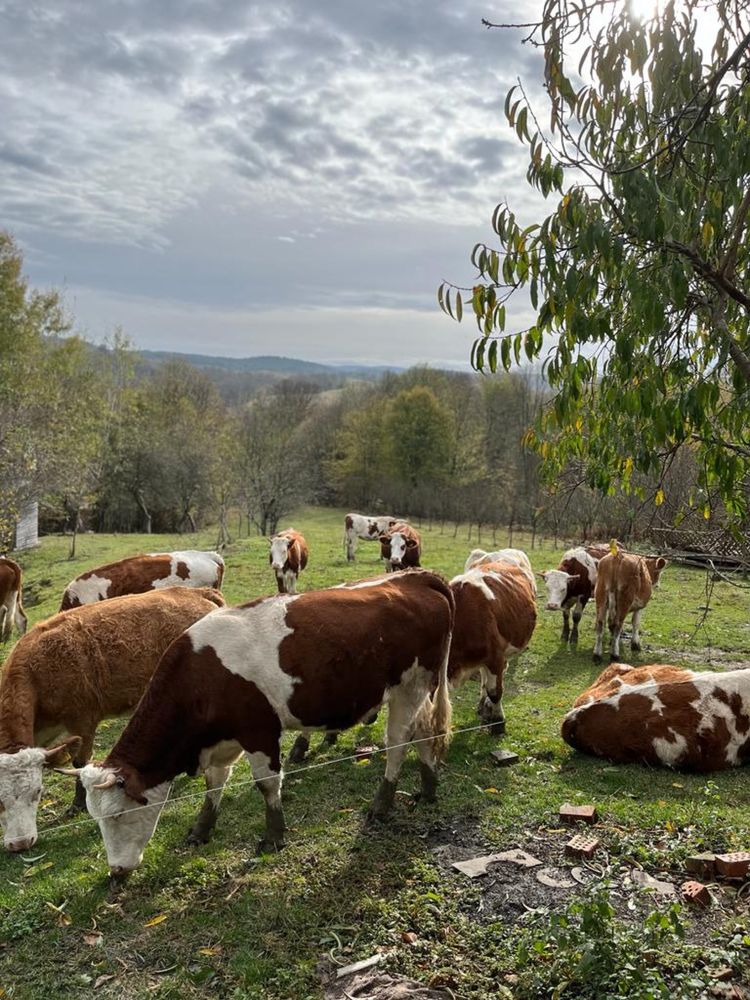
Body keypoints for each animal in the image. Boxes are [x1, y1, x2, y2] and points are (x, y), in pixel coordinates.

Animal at [0, 584, 225, 852]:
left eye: (38, 791)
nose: (20, 843)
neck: (38, 673)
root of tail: (198, 592)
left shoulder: (82, 720)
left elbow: (80, 762)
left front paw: (77, 805)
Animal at [70, 572, 456, 876]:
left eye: (117, 816)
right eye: (95, 818)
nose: (116, 871)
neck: (201, 674)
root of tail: (414, 578)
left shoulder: (259, 732)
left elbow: (267, 785)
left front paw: (273, 836)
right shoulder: (221, 741)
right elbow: (214, 784)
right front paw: (201, 829)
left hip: (410, 687)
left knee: (399, 743)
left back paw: (382, 804)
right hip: (420, 690)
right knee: (425, 734)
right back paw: (428, 789)